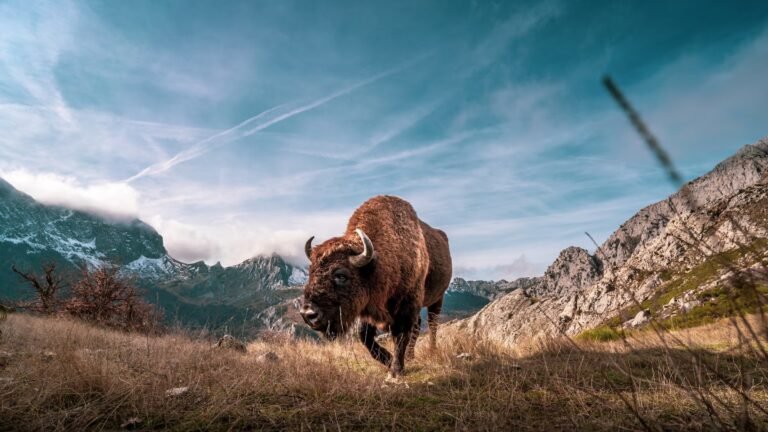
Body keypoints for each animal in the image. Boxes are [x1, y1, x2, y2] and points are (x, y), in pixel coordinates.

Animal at [301, 195, 452, 378]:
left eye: (341, 275)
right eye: (311, 272)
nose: (308, 314)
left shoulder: (406, 305)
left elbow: (400, 334)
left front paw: (395, 371)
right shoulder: (369, 307)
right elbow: (365, 336)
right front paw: (388, 360)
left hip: (437, 298)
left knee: (432, 323)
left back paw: (431, 350)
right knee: (418, 326)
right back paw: (410, 357)